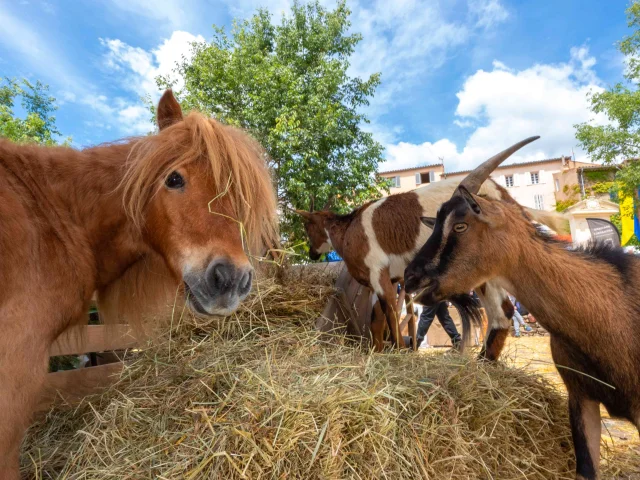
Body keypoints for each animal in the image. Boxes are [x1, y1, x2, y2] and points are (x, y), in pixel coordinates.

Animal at [296, 137, 556, 354]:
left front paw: (399, 353)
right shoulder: (387, 280)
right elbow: (376, 320)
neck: (350, 228)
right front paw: (377, 353)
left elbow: (391, 317)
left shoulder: (378, 274)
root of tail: (503, 193)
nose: (312, 253)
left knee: (503, 311)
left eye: (307, 227)